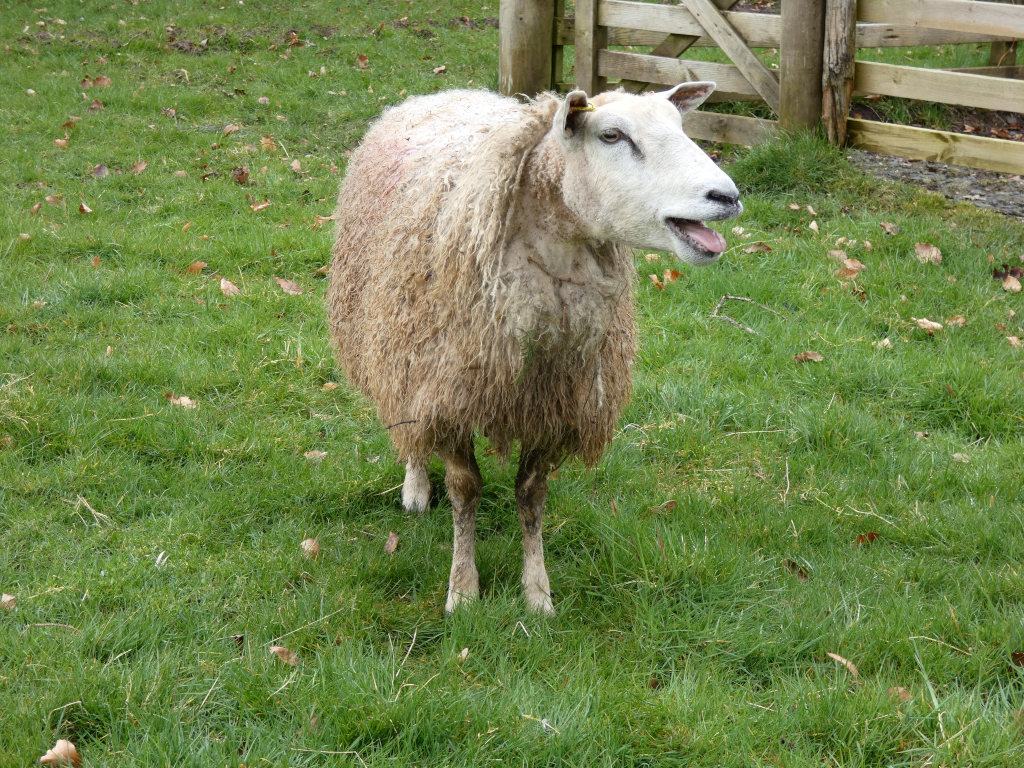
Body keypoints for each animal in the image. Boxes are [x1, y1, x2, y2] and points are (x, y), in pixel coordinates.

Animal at [326, 83, 742, 615]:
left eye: (681, 125)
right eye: (612, 135)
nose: (726, 197)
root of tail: (447, 91)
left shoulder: (555, 404)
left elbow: (531, 495)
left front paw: (537, 592)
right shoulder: (450, 391)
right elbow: (465, 491)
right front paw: (463, 590)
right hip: (400, 348)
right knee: (409, 423)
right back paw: (415, 486)